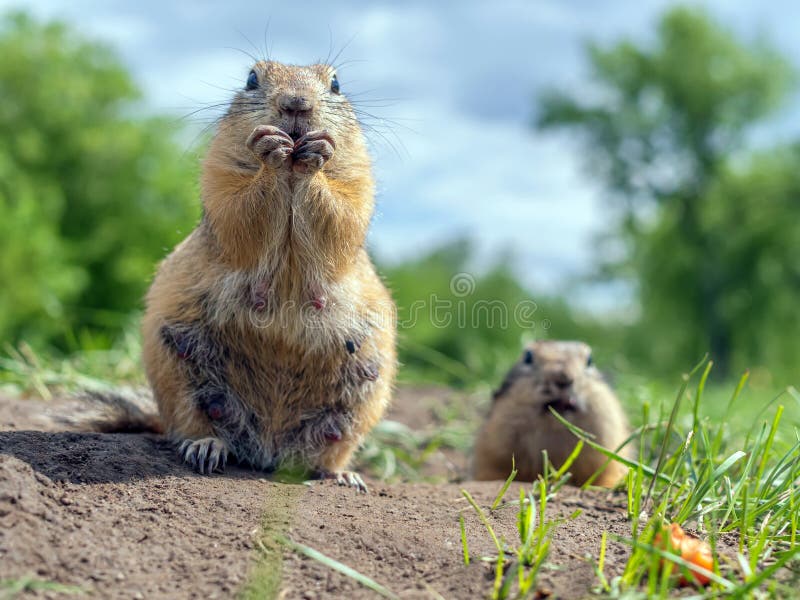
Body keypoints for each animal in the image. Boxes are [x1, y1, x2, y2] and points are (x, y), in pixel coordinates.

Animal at [136, 62, 396, 492]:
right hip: (178, 373)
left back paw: (343, 475)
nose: (296, 103)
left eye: (336, 83)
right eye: (251, 79)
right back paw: (206, 447)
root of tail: (267, 451)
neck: (290, 177)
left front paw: (317, 154)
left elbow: (345, 209)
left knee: (326, 452)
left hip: (361, 398)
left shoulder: (358, 175)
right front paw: (270, 150)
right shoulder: (220, 169)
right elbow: (236, 206)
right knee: (192, 425)